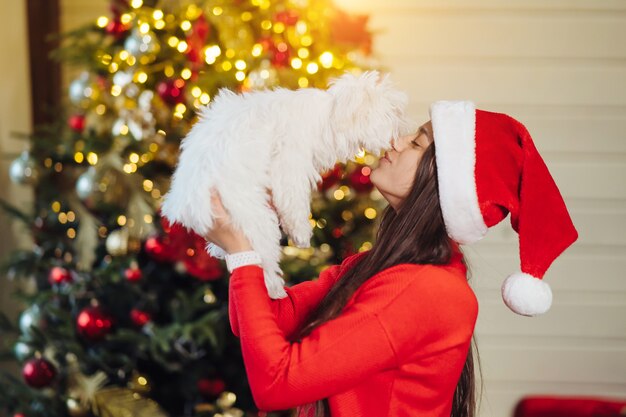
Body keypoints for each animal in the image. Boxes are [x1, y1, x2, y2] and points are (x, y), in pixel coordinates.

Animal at [161, 70, 412, 300]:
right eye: (394, 112)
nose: (405, 133)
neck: (329, 116)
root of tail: (188, 203)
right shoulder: (288, 166)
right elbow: (294, 203)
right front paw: (301, 234)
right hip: (256, 220)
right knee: (265, 262)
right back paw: (275, 291)